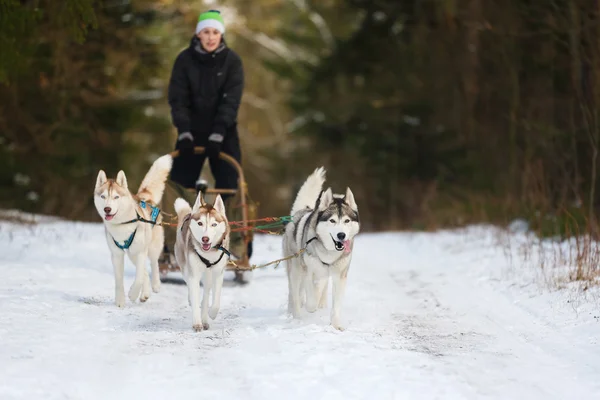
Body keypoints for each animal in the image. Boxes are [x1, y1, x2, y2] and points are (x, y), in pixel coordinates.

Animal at [94, 155, 173, 308]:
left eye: (116, 197)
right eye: (103, 196)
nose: (107, 209)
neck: (122, 224)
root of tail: (144, 199)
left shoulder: (141, 252)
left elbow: (139, 278)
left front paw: (132, 294)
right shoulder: (117, 254)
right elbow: (119, 280)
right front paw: (120, 301)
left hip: (150, 248)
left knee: (153, 264)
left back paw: (155, 285)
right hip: (131, 254)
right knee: (145, 272)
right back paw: (145, 294)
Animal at [175, 191, 231, 332]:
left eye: (214, 224)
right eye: (200, 223)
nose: (205, 239)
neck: (208, 254)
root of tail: (188, 214)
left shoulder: (218, 273)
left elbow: (216, 300)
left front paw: (212, 313)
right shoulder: (193, 273)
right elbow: (195, 296)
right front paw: (197, 323)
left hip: (208, 276)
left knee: (206, 295)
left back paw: (205, 318)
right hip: (185, 267)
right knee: (190, 286)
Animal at [282, 166, 358, 332]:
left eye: (347, 221)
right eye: (332, 220)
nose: (341, 235)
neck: (329, 253)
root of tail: (301, 211)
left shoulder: (339, 276)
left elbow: (335, 305)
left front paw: (335, 325)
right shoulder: (309, 271)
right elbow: (310, 298)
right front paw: (310, 307)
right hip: (296, 270)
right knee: (294, 293)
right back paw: (296, 314)